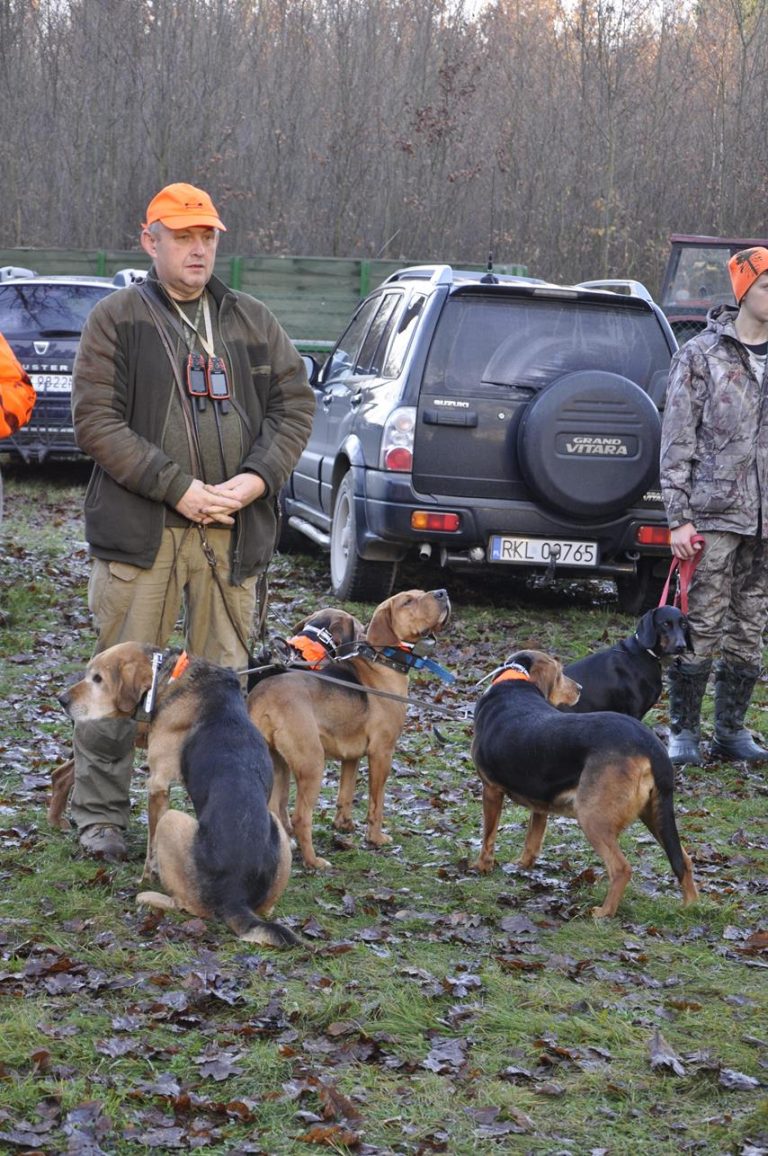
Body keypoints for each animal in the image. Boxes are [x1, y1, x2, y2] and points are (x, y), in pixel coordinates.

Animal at [56, 642, 296, 947]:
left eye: (97, 679)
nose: (61, 699)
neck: (169, 674)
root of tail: (235, 896)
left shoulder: (158, 784)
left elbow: (150, 851)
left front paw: (146, 878)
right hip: (277, 829)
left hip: (173, 820)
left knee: (187, 905)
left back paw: (149, 896)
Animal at [247, 587, 451, 869]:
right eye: (408, 601)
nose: (442, 592)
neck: (381, 661)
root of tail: (261, 697)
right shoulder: (381, 753)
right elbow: (377, 804)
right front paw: (375, 838)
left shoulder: (351, 756)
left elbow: (346, 793)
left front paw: (344, 826)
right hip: (312, 763)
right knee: (300, 817)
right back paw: (313, 861)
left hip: (277, 764)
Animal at [471, 647, 698, 915]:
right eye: (560, 674)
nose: (579, 688)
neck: (515, 682)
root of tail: (652, 745)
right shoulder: (541, 801)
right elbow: (532, 840)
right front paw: (521, 865)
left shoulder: (491, 789)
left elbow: (488, 837)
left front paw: (481, 868)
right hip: (654, 812)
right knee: (683, 859)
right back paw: (692, 906)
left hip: (593, 817)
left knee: (621, 868)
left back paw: (603, 913)